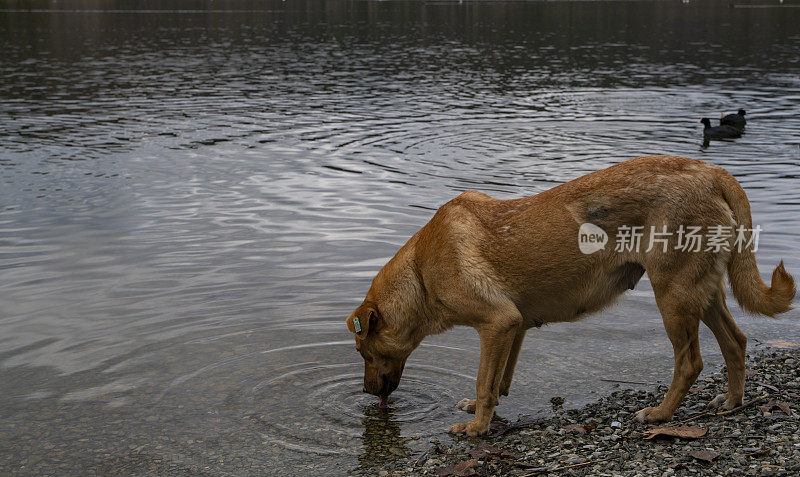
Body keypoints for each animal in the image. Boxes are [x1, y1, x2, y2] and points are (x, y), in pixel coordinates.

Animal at [344, 156, 792, 436]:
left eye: (364, 353)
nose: (366, 395)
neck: (420, 272)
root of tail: (712, 171)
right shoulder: (514, 326)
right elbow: (498, 381)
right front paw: (481, 413)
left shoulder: (496, 323)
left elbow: (484, 381)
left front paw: (476, 429)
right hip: (703, 293)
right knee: (736, 342)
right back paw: (732, 401)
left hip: (673, 297)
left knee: (690, 363)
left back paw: (661, 414)